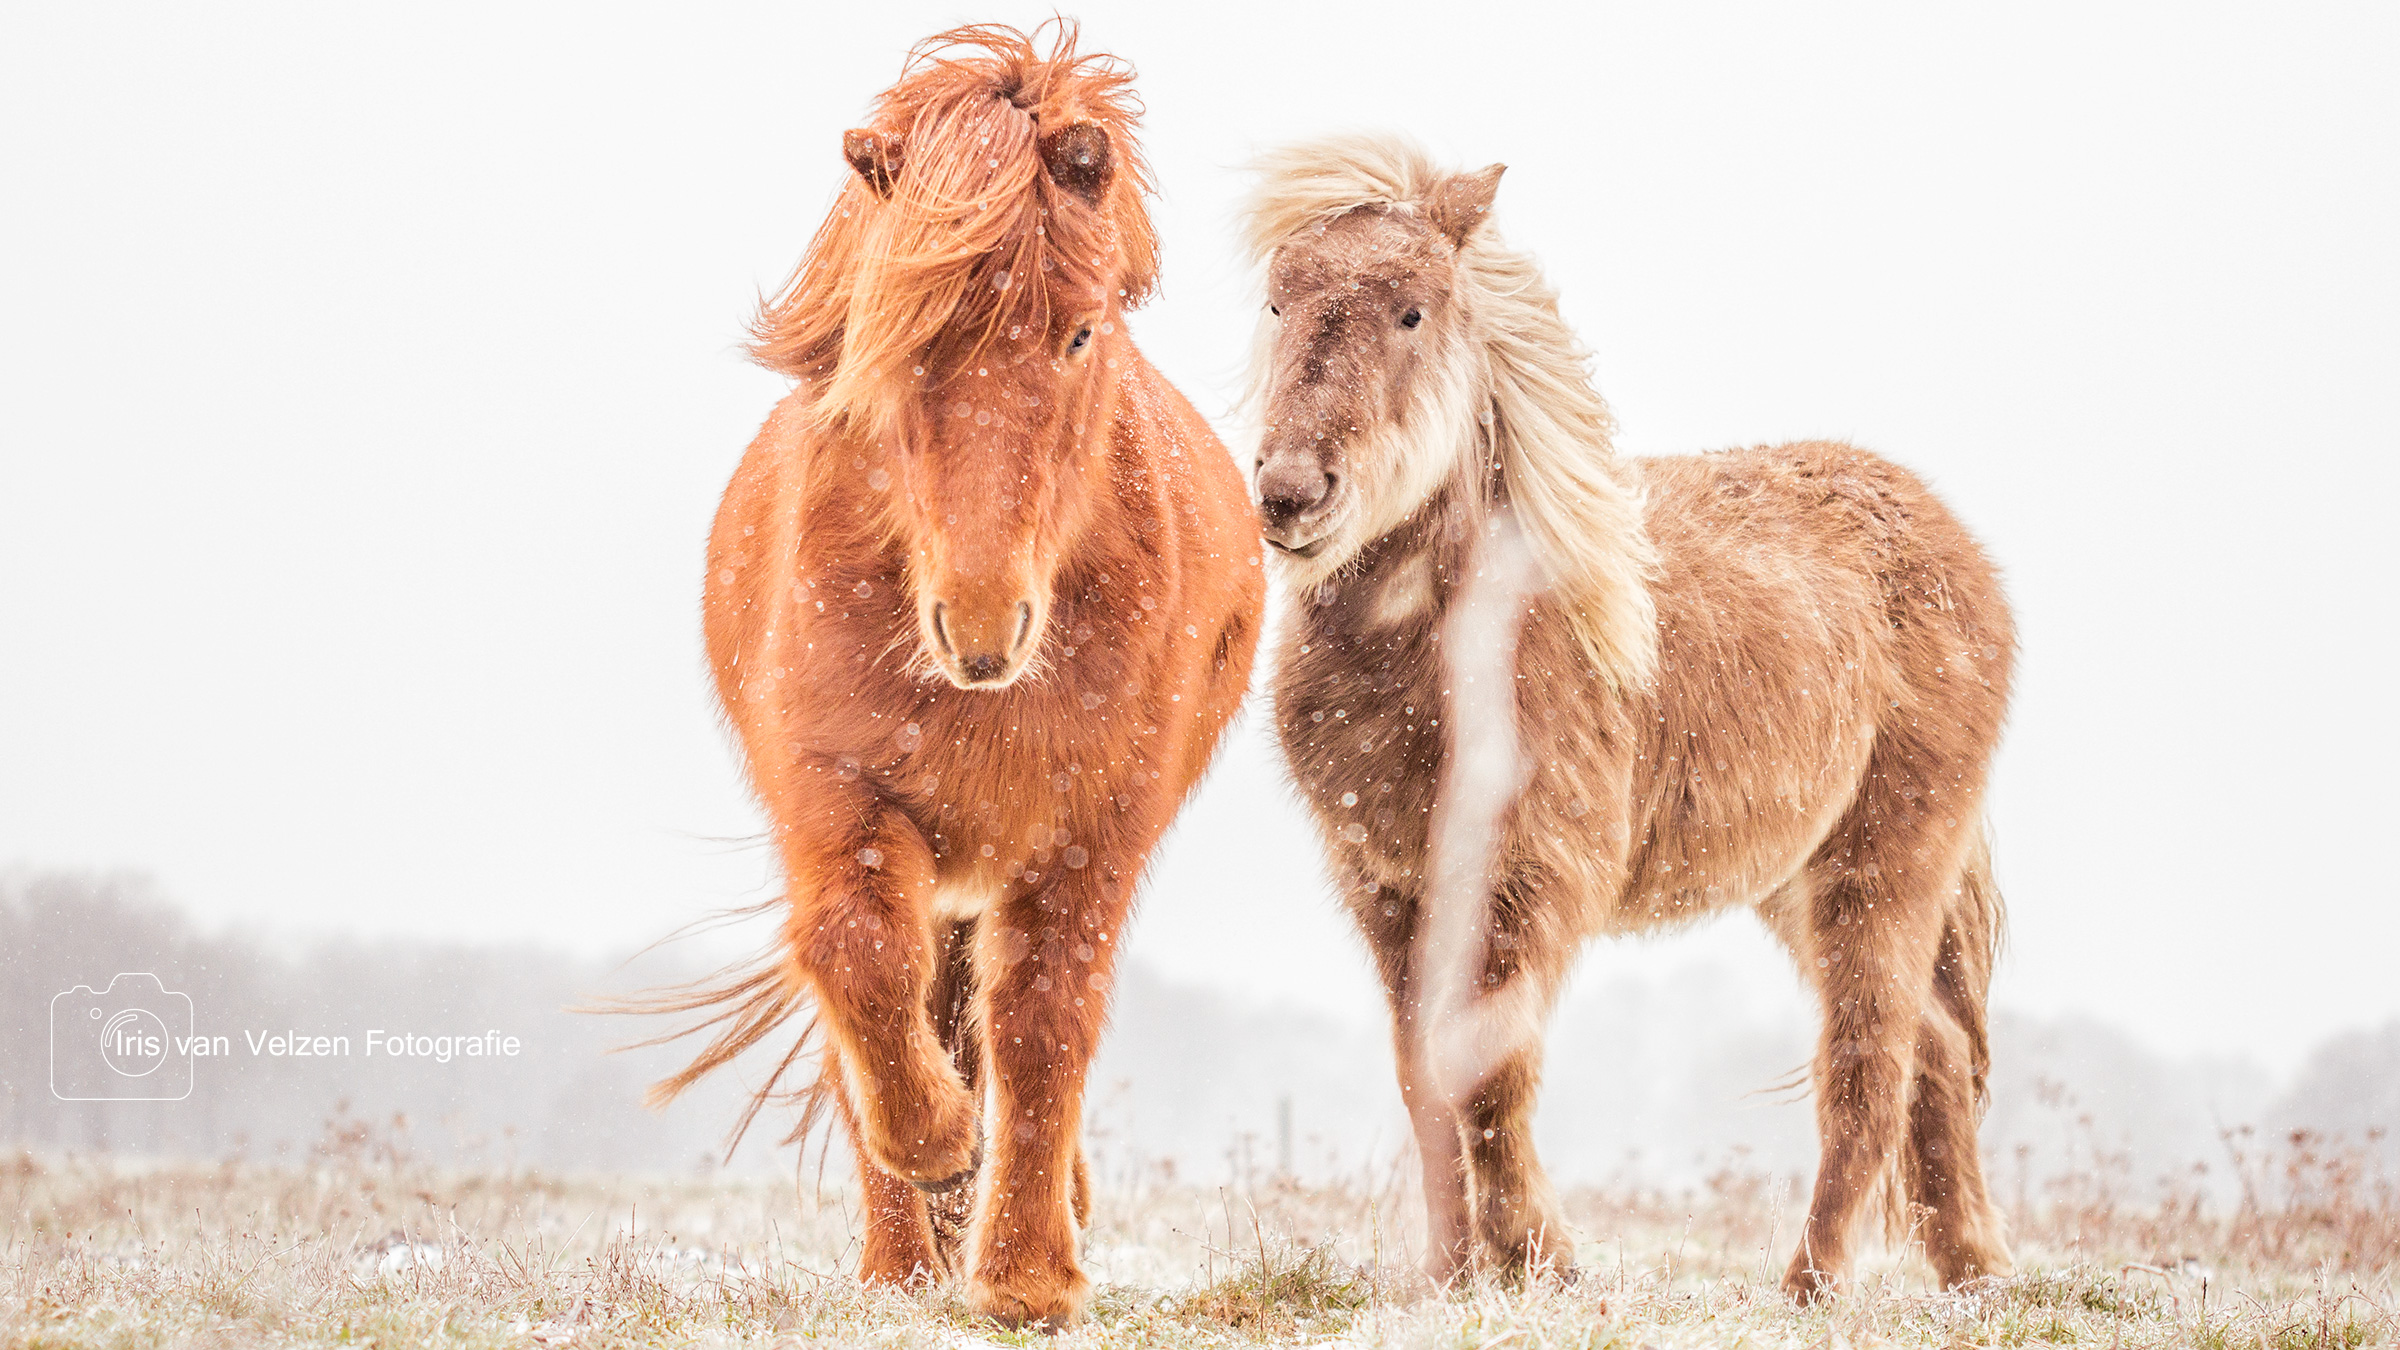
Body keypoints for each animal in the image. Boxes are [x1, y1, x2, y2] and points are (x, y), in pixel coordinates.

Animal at [657, 23, 1267, 1325]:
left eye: (1080, 332)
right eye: (894, 337)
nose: (982, 624)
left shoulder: (1093, 830)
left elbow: (1042, 1024)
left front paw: (1028, 1276)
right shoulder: (829, 794)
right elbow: (854, 959)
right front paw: (938, 1151)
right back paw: (901, 1258)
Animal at [1248, 133, 2016, 1297]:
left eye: (1413, 312)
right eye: (1278, 302)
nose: (1292, 492)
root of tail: (1950, 542)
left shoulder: (1530, 874)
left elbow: (1489, 1066)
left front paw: (1540, 1262)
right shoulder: (1387, 884)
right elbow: (1423, 1072)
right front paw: (1452, 1273)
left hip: (1885, 866)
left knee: (1870, 1060)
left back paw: (1813, 1285)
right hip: (1797, 879)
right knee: (1934, 1047)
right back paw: (1973, 1270)